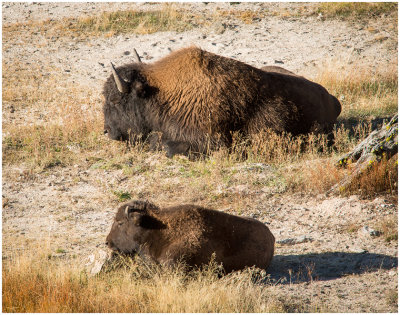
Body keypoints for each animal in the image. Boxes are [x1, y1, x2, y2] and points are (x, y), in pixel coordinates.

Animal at [103, 46, 340, 156]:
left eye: (115, 100)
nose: (107, 131)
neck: (159, 94)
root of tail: (332, 100)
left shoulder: (212, 141)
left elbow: (165, 145)